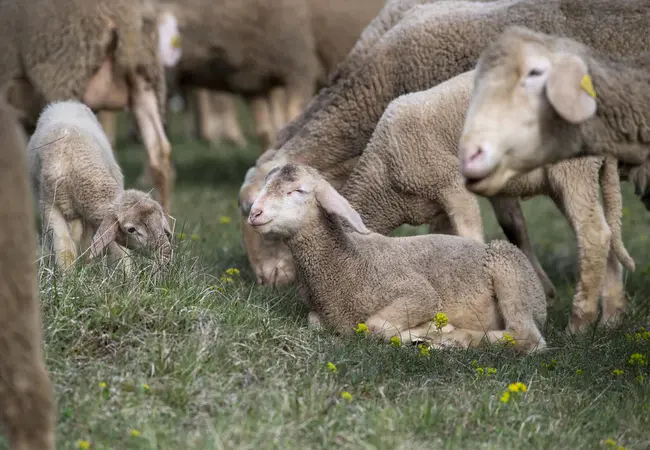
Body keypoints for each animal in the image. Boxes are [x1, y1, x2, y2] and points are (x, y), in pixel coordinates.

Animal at [27, 101, 172, 274]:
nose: (163, 256)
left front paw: (127, 276)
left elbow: (116, 250)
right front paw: (68, 276)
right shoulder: (50, 206)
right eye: (131, 229)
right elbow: (64, 248)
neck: (78, 164)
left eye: (160, 219)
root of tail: (65, 102)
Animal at [248, 163, 548, 356]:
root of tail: (541, 300)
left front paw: (425, 331)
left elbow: (373, 325)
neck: (345, 261)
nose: (254, 213)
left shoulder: (419, 294)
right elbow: (315, 322)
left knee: (527, 337)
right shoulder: (320, 314)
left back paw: (454, 339)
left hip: (510, 272)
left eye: (297, 191)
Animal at [342, 70, 636, 334]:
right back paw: (610, 319)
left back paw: (579, 324)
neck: (384, 176)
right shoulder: (438, 210)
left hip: (573, 166)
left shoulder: (450, 182)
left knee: (593, 234)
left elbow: (470, 236)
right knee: (607, 234)